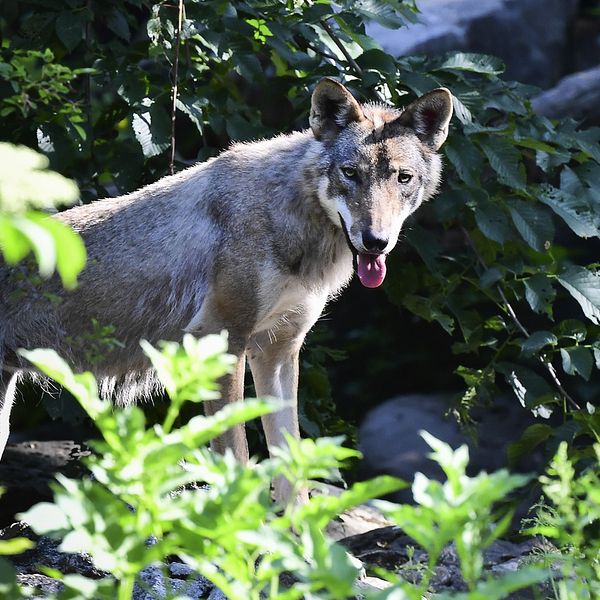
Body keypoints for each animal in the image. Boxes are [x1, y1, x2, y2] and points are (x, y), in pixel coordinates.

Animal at [0, 78, 450, 502]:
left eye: (403, 178)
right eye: (350, 173)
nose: (375, 242)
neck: (287, 216)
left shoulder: (278, 351)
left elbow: (292, 472)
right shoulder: (220, 340)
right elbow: (238, 460)